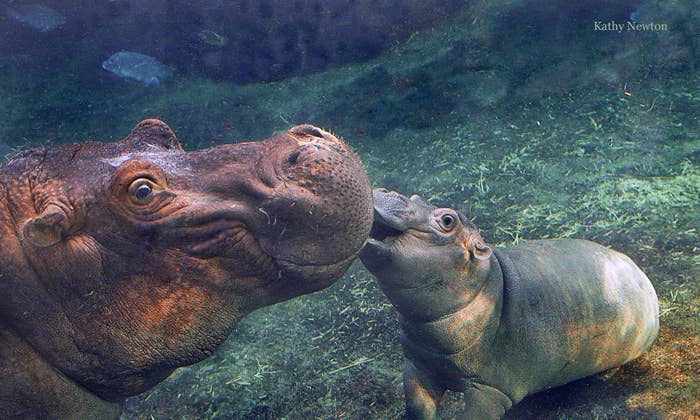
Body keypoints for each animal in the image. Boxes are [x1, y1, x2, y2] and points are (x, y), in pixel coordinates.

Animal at [359, 189, 659, 419]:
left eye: (447, 220)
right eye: (415, 196)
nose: (385, 190)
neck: (484, 285)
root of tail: (643, 276)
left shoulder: (491, 391)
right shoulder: (417, 366)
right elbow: (418, 409)